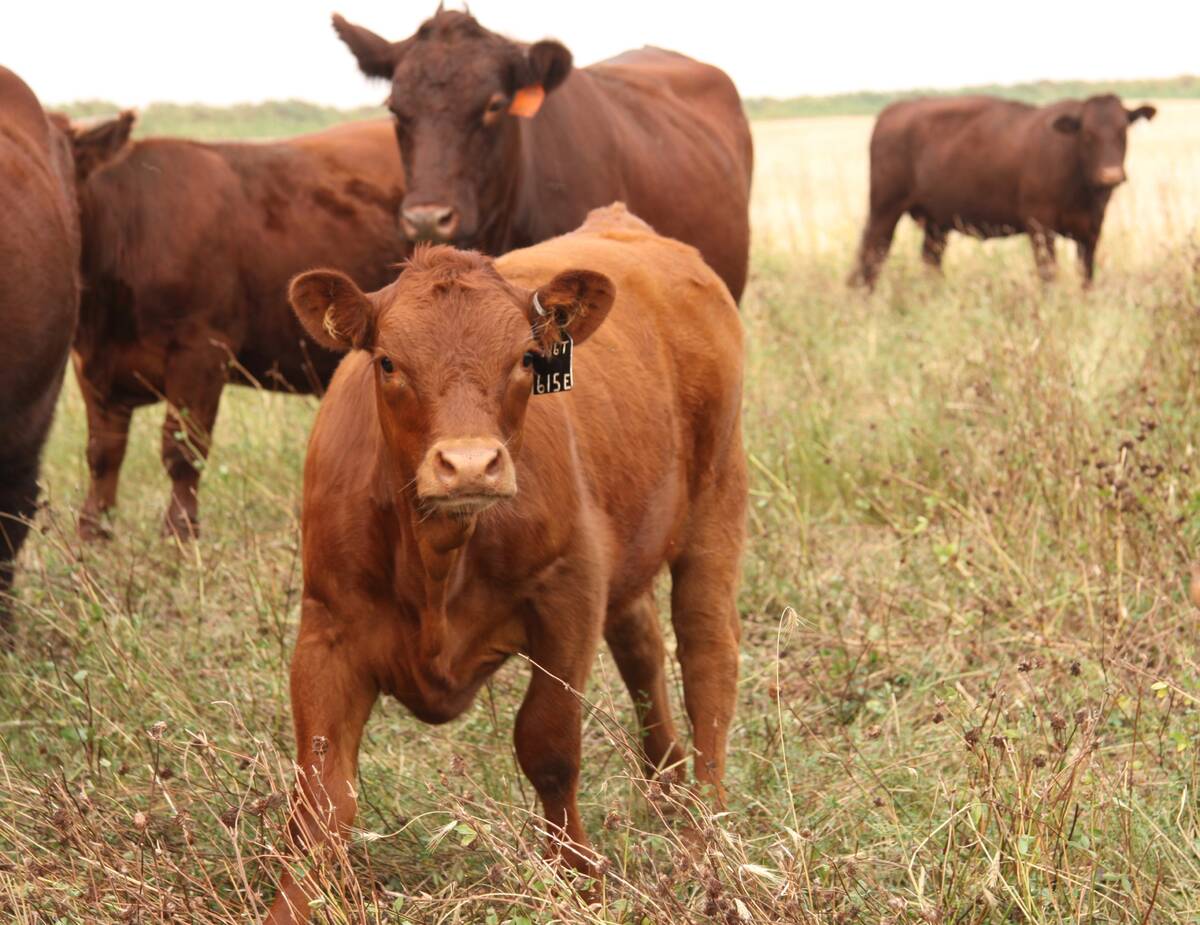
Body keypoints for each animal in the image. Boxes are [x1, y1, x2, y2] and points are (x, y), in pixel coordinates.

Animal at [71, 116, 408, 539]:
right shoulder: (91, 363)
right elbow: (103, 453)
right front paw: (92, 531)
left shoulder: (201, 351)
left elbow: (183, 449)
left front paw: (180, 531)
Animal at [265, 204, 747, 922]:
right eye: (387, 361)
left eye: (525, 357)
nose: (469, 464)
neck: (437, 560)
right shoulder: (327, 629)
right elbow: (323, 791)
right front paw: (294, 904)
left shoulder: (569, 595)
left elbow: (547, 745)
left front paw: (579, 879)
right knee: (642, 647)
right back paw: (667, 788)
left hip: (717, 500)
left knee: (706, 658)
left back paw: (705, 837)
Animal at [852, 94, 1156, 288]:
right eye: (1088, 134)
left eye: (1122, 131)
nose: (1110, 175)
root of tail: (893, 110)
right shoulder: (1040, 226)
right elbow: (1048, 273)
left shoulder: (1091, 231)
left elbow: (1086, 276)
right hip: (884, 208)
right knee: (872, 254)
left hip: (936, 223)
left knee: (930, 260)